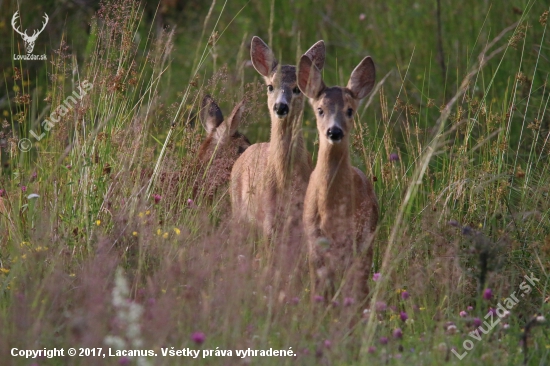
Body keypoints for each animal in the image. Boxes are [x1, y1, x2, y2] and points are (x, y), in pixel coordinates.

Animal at [298, 51, 380, 304]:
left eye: (350, 110)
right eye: (320, 109)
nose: (334, 131)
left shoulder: (356, 239)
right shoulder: (314, 241)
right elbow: (319, 289)